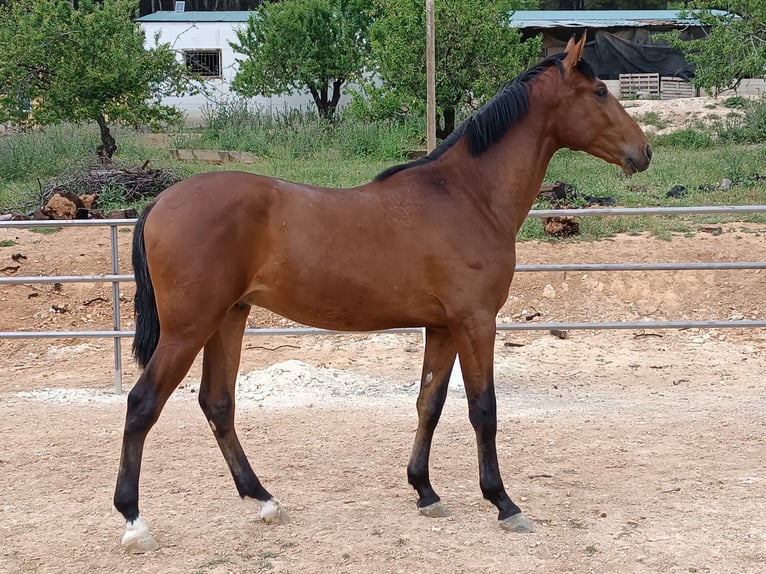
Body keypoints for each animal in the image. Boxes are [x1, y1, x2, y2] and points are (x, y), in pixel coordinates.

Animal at [115, 35, 656, 552]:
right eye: (600, 91)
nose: (644, 152)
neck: (467, 196)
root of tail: (160, 202)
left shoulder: (443, 327)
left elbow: (429, 404)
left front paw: (425, 491)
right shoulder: (476, 322)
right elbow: (483, 410)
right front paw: (503, 502)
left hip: (230, 317)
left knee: (217, 403)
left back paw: (264, 500)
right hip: (189, 329)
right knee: (143, 404)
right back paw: (135, 523)